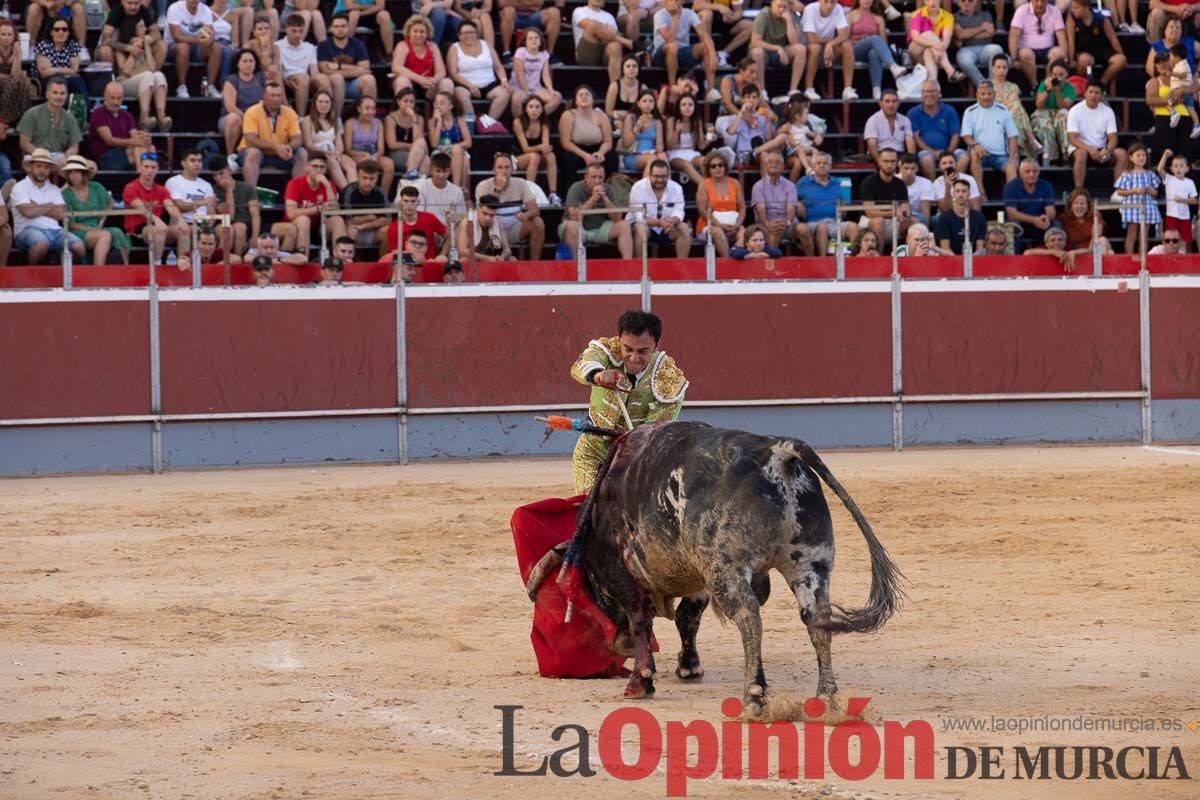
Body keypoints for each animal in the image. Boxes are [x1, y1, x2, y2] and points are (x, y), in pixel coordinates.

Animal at [571, 419, 902, 714]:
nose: (618, 646)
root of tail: (777, 451)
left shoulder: (625, 571)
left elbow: (642, 619)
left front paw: (640, 682)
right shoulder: (699, 574)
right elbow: (687, 617)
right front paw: (688, 668)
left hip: (728, 569)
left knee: (749, 618)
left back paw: (754, 697)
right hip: (810, 565)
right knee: (818, 620)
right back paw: (828, 699)